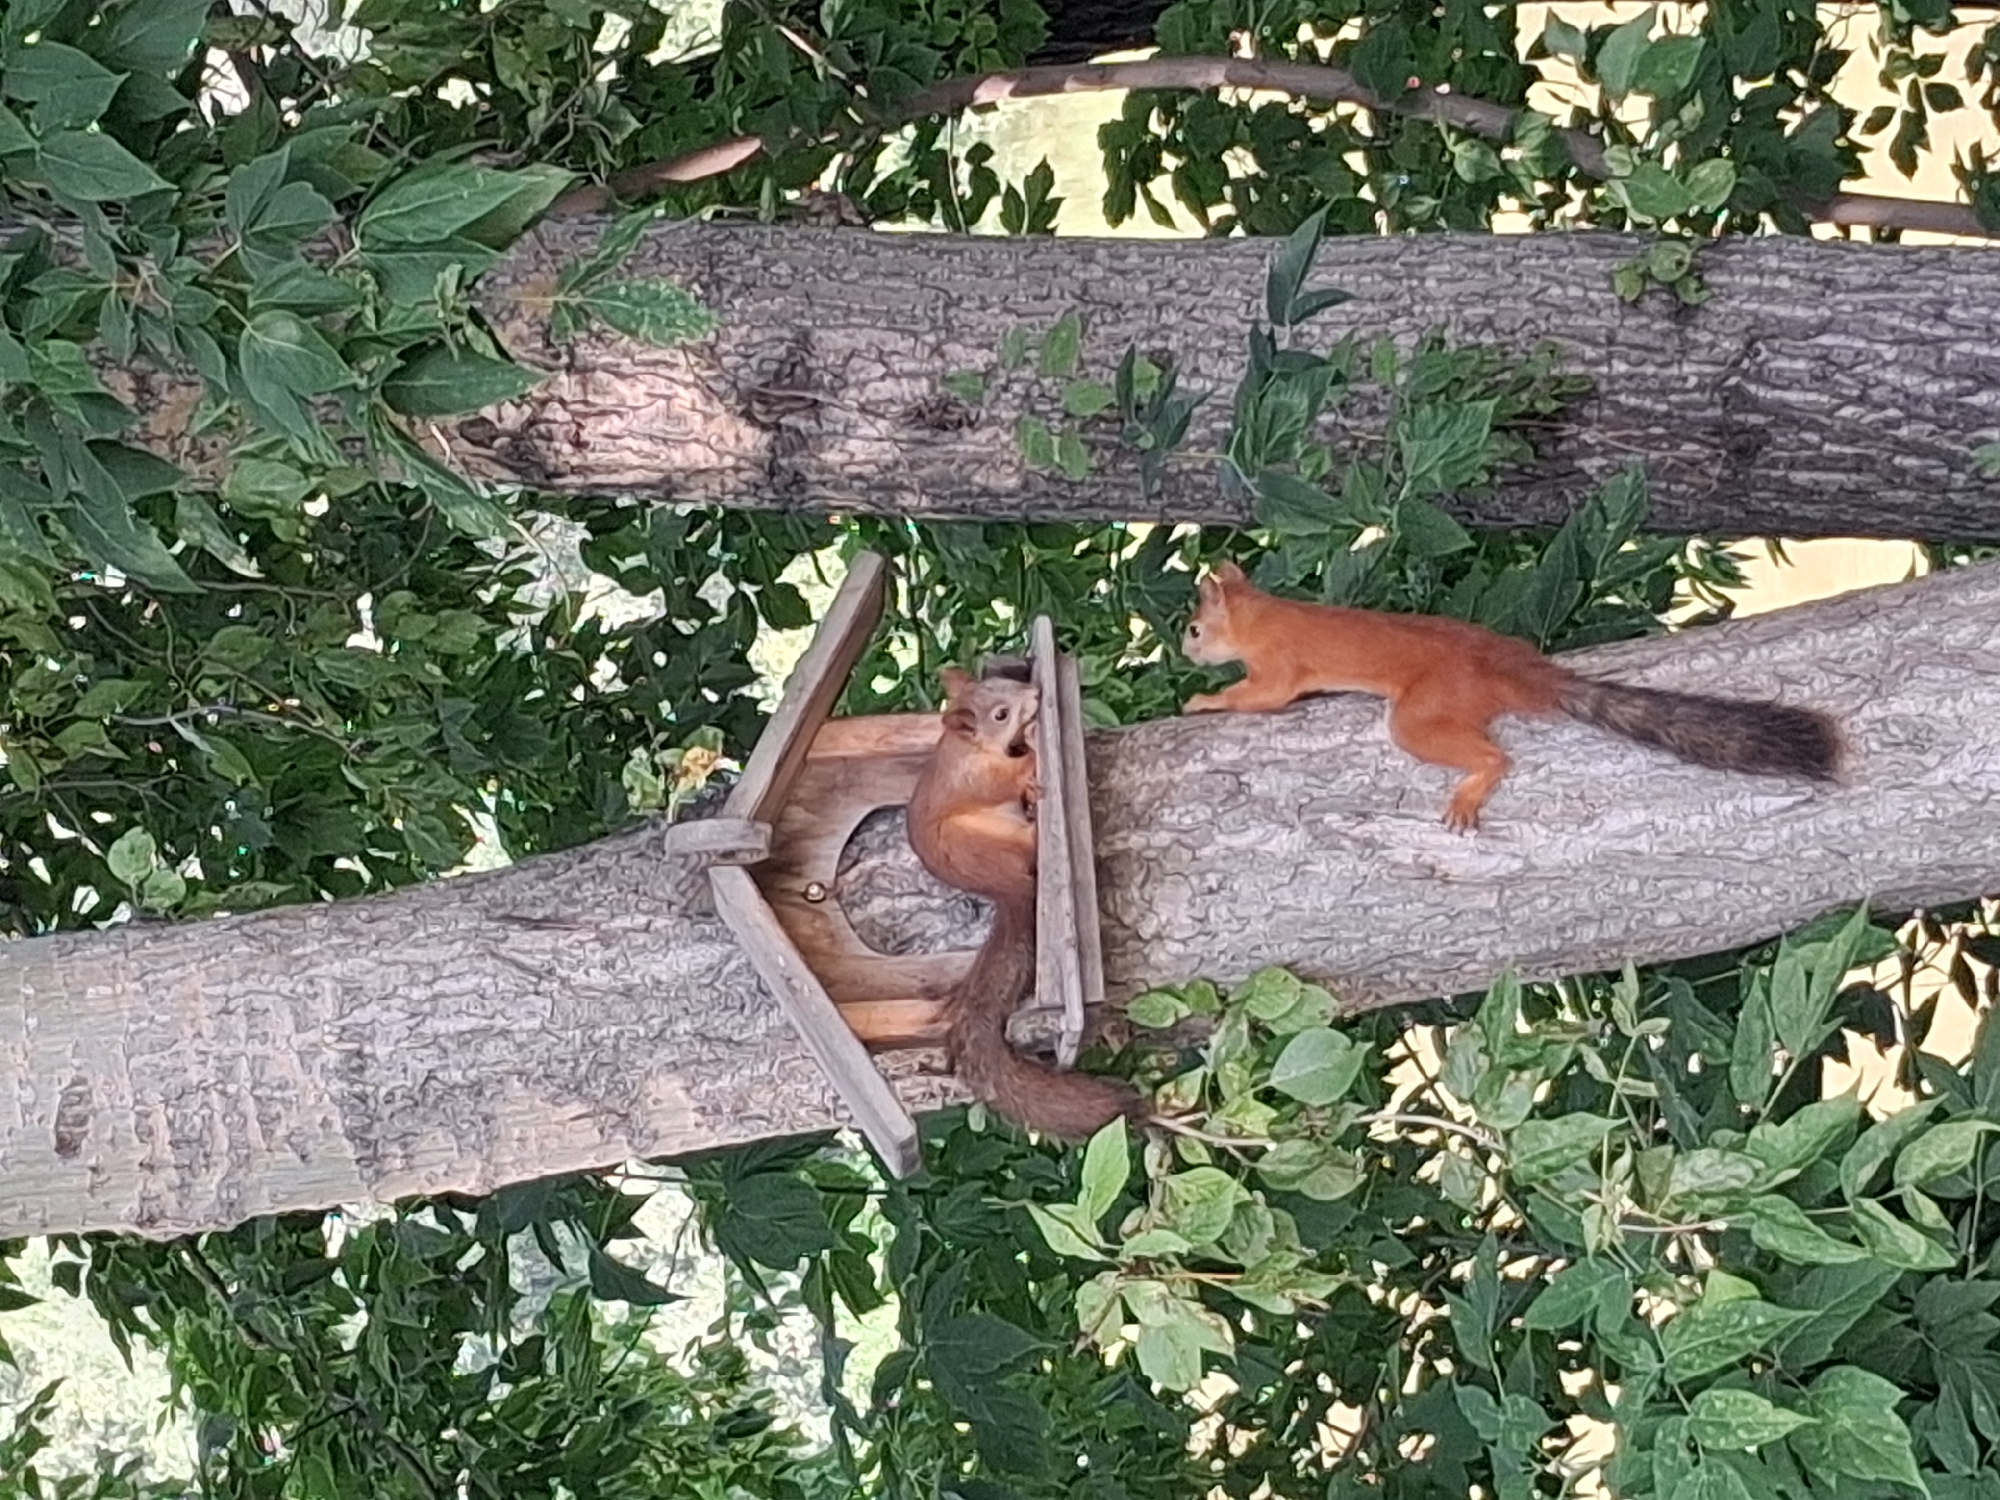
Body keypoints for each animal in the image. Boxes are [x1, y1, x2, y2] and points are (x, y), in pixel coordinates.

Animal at [906, 667, 1141, 1141]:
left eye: (1003, 682)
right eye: (1000, 714)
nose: (1036, 693)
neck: (968, 749)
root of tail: (1003, 890)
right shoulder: (986, 779)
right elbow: (1016, 770)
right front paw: (1031, 745)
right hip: (990, 841)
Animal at [1181, 560, 1842, 832]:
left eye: (1192, 629)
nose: (1187, 653)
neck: (1261, 613)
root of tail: (1512, 669)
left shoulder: (1277, 665)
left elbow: (1260, 697)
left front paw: (1200, 702)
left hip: (1422, 714)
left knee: (1490, 754)